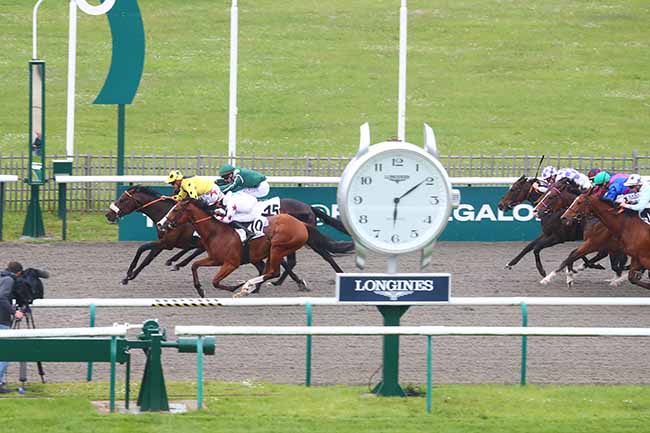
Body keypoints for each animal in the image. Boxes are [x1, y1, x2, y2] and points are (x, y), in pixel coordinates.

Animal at [105, 185, 354, 284]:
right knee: (288, 261)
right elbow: (150, 253)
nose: (109, 214)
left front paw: (129, 275)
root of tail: (308, 206)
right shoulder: (171, 241)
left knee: (321, 255)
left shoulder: (168, 242)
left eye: (123, 199)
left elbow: (144, 251)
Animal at [160, 199, 340, 296]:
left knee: (274, 271)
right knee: (273, 269)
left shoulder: (231, 263)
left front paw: (236, 287)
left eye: (176, 209)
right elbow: (194, 265)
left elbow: (215, 281)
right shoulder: (215, 259)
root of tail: (301, 223)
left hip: (277, 247)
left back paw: (249, 285)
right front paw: (199, 289)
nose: (162, 224)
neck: (216, 231)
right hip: (275, 250)